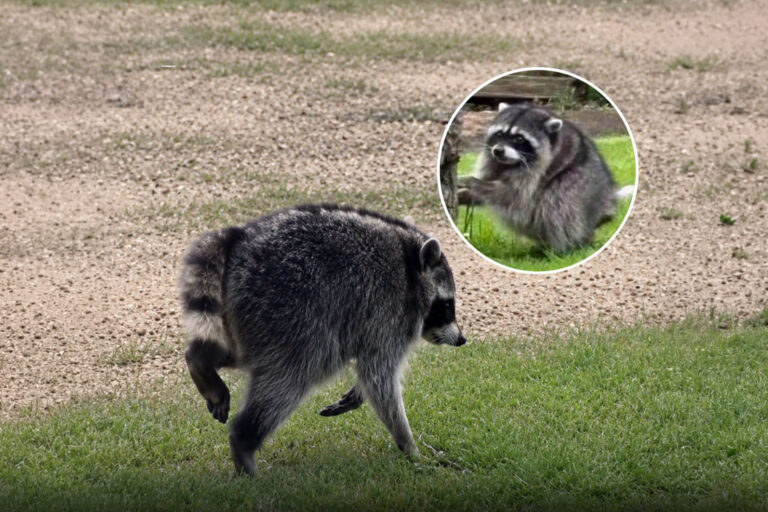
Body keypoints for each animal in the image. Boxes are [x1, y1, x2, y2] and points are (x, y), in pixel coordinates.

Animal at [179, 204, 465, 475]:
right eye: (447, 306)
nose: (461, 339)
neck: (410, 264)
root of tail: (238, 240)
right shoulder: (388, 310)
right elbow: (379, 376)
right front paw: (409, 445)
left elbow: (371, 374)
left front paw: (358, 395)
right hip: (287, 308)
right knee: (291, 376)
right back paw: (243, 439)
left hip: (250, 314)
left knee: (239, 352)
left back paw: (200, 360)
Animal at [459, 102, 631, 252]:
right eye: (500, 134)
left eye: (519, 139)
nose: (498, 151)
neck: (510, 163)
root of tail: (607, 206)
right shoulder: (494, 162)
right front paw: (466, 194)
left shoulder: (538, 171)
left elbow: (512, 195)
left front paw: (475, 183)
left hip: (582, 188)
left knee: (559, 201)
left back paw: (565, 246)